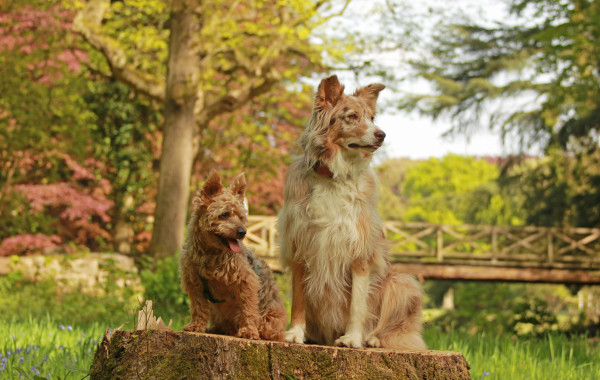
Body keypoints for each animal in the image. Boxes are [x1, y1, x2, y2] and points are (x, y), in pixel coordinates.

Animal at [179, 171, 288, 340]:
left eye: (241, 217)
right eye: (224, 214)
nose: (243, 232)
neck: (210, 253)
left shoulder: (246, 281)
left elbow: (248, 309)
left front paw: (248, 330)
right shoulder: (194, 284)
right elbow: (198, 308)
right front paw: (196, 325)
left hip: (270, 319)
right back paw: (217, 328)